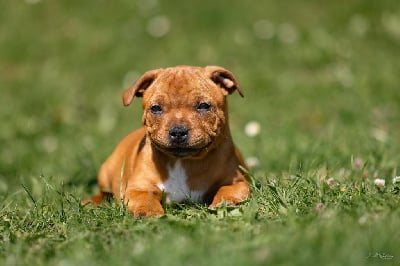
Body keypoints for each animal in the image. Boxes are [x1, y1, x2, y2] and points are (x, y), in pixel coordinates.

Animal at [90, 65, 250, 217]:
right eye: (156, 108)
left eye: (204, 106)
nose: (178, 131)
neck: (182, 162)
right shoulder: (139, 188)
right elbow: (145, 199)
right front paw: (149, 212)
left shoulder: (238, 182)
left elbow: (228, 189)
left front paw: (225, 202)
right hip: (105, 173)